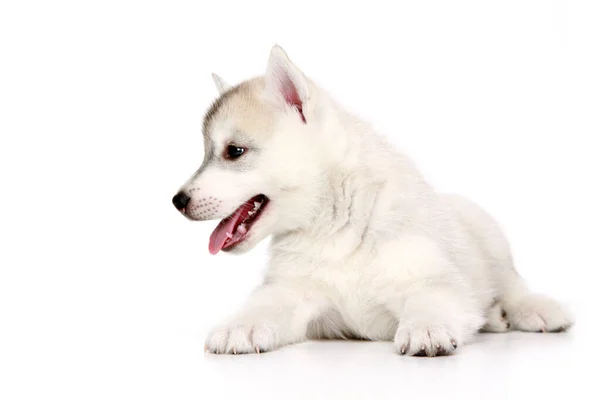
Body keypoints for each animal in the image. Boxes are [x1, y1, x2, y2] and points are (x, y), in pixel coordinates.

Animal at [172, 45, 572, 354]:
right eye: (207, 153)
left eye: (234, 151)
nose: (177, 200)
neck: (334, 226)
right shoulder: (292, 292)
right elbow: (263, 306)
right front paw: (240, 325)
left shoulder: (434, 279)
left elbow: (431, 298)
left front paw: (426, 327)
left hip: (487, 232)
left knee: (510, 283)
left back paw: (531, 310)